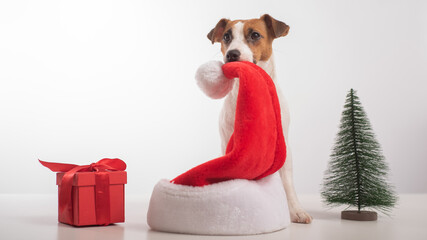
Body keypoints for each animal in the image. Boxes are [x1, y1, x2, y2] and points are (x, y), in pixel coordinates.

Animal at [206, 14, 312, 224]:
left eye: (255, 35)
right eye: (226, 37)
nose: (232, 54)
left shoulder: (283, 146)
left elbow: (287, 182)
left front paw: (296, 211)